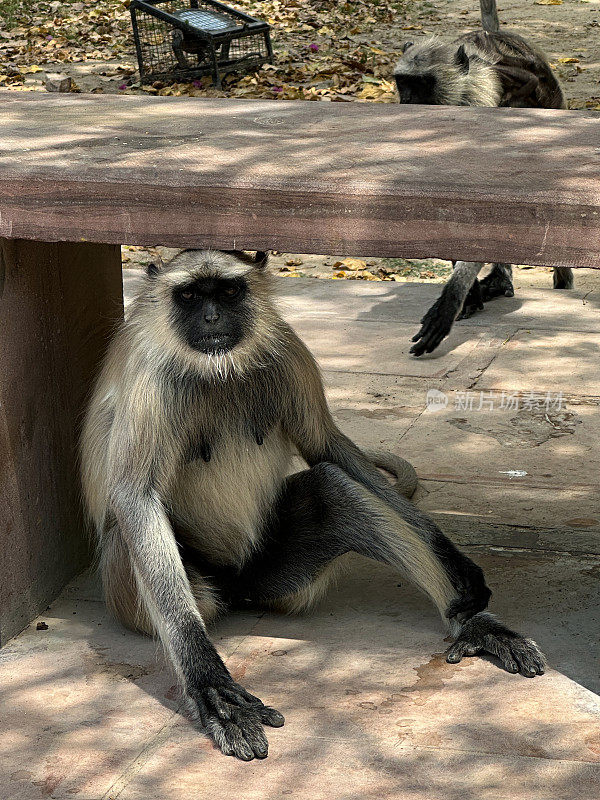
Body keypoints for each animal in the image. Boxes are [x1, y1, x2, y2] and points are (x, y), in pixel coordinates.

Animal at [82, 250, 548, 764]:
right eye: (188, 295)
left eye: (228, 292)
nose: (210, 318)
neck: (218, 369)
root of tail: (239, 587)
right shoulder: (153, 377)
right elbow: (135, 497)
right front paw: (210, 683)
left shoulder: (287, 349)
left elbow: (327, 448)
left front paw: (450, 554)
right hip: (163, 587)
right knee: (129, 535)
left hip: (278, 578)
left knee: (334, 486)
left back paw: (475, 627)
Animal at [394, 30, 576, 356]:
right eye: (404, 82)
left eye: (423, 84)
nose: (409, 101)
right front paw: (468, 295)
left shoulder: (478, 103)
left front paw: (454, 297)